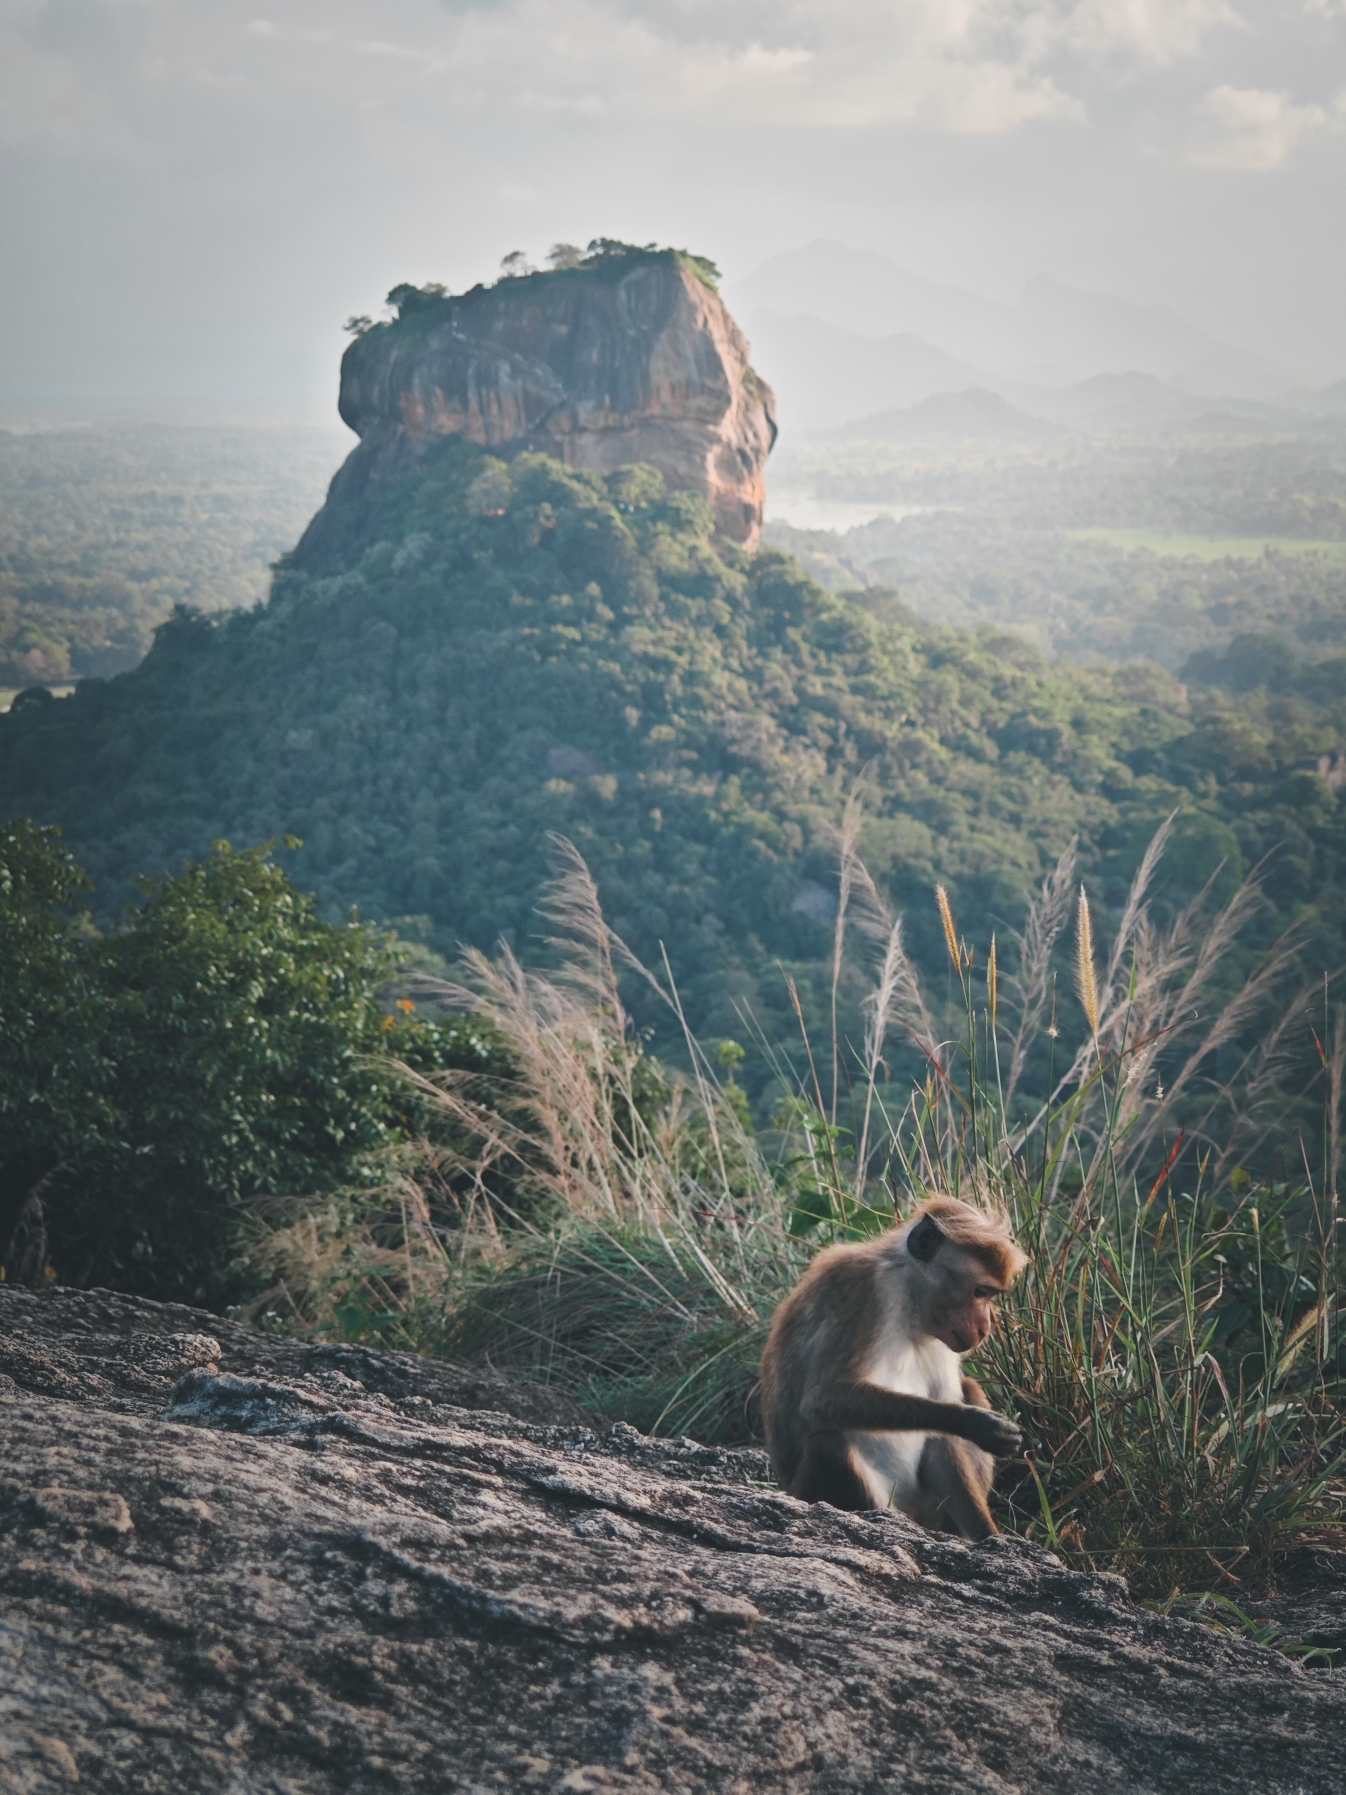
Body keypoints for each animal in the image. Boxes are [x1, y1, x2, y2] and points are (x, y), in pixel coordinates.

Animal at [760, 1199, 1033, 1536]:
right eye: (980, 1292)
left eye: (990, 1294)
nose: (985, 1329)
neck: (908, 1294)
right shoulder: (865, 1289)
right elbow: (822, 1400)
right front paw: (973, 1423)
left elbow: (943, 1433)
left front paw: (988, 1537)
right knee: (828, 1444)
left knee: (969, 1388)